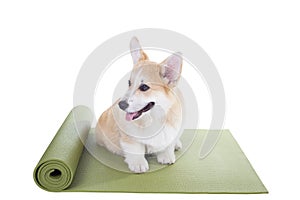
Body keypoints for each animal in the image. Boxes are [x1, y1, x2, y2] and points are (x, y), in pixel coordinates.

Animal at [96, 37, 184, 173]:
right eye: (129, 83)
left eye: (144, 87)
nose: (121, 105)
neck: (154, 118)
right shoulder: (128, 137)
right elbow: (136, 148)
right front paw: (138, 163)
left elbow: (167, 144)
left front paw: (166, 156)